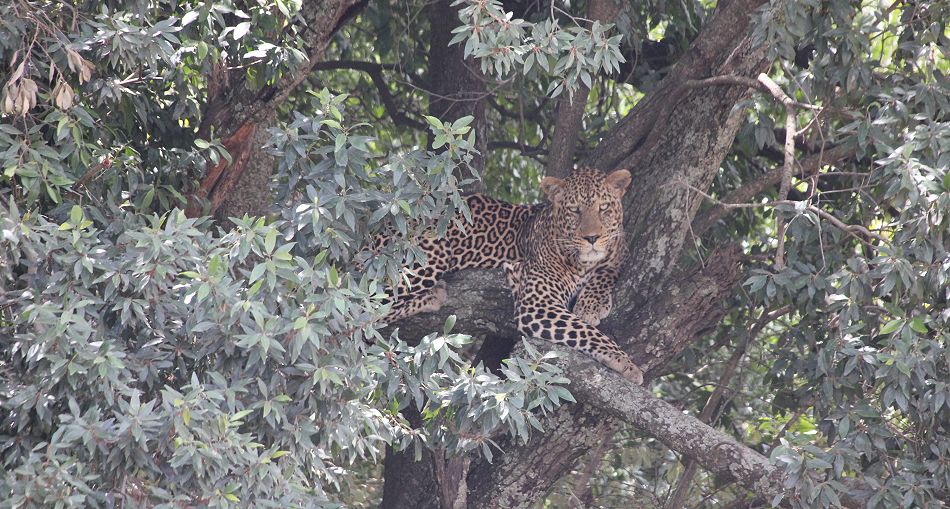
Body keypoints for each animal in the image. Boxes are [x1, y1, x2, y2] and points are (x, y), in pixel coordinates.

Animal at [384, 169, 644, 382]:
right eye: (574, 210)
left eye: (604, 208)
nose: (592, 238)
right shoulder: (538, 304)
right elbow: (586, 331)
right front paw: (625, 362)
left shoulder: (619, 251)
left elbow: (608, 270)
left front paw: (592, 305)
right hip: (427, 257)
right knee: (378, 308)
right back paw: (431, 297)